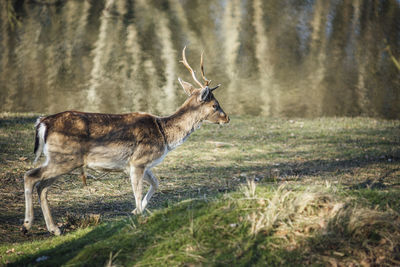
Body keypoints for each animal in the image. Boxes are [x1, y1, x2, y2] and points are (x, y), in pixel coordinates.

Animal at [21, 47, 230, 236]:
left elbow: (156, 183)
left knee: (42, 186)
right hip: (64, 157)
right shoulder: (138, 161)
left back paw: (54, 229)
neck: (164, 134)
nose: (227, 118)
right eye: (215, 105)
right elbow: (137, 191)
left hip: (61, 159)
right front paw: (140, 215)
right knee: (31, 176)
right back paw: (27, 225)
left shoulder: (136, 165)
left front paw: (137, 210)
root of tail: (43, 122)